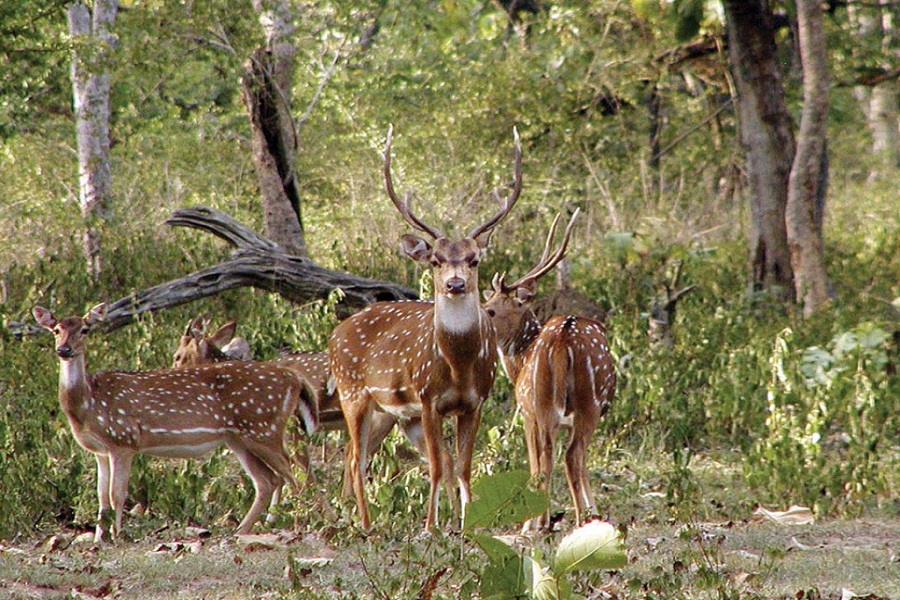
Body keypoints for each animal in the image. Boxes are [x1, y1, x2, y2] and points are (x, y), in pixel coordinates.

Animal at [34, 302, 316, 540]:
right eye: (56, 330)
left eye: (85, 329)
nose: (64, 349)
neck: (88, 405)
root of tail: (294, 379)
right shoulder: (99, 451)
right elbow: (101, 496)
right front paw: (99, 538)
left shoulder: (124, 440)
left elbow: (117, 495)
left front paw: (117, 536)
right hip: (238, 438)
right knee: (268, 480)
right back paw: (242, 530)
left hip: (264, 428)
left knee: (298, 475)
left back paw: (310, 522)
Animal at [332, 126, 524, 528]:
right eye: (435, 260)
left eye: (474, 258)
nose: (455, 283)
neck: (458, 365)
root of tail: (336, 332)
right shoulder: (427, 397)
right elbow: (436, 467)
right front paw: (431, 526)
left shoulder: (474, 403)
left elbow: (462, 467)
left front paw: (468, 522)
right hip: (352, 392)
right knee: (355, 458)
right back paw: (365, 524)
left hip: (396, 413)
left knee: (359, 457)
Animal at [482, 213, 616, 532]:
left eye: (491, 309)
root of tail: (561, 340)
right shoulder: (530, 412)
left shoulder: (529, 411)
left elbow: (538, 462)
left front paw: (535, 522)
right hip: (585, 403)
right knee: (571, 456)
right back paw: (580, 521)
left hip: (545, 403)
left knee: (555, 457)